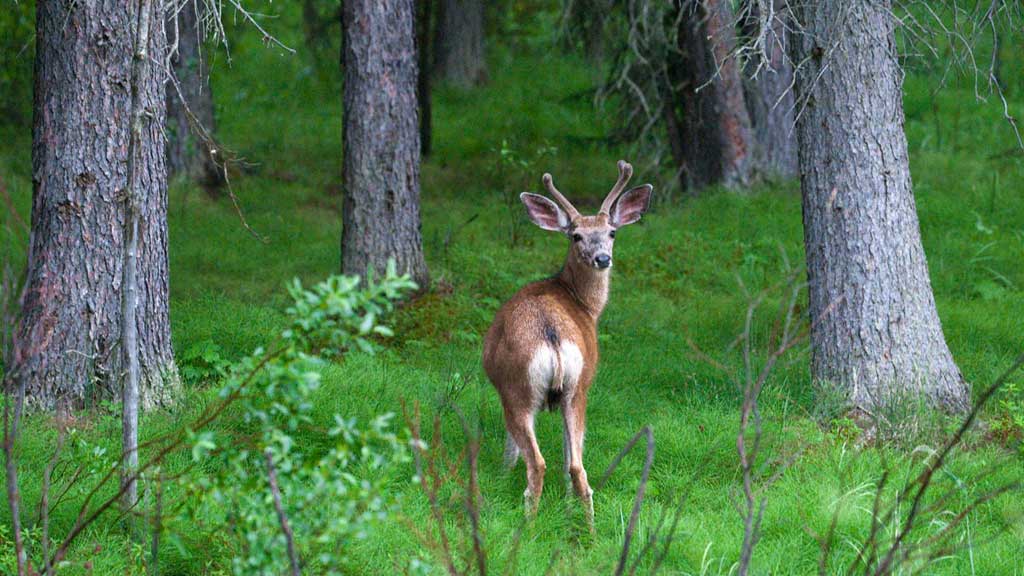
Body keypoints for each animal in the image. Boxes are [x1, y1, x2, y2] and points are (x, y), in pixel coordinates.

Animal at [481, 158, 655, 528]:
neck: (584, 305)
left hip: (518, 389)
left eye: (612, 232)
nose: (602, 258)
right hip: (578, 388)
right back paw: (588, 529)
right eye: (577, 235)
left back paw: (529, 526)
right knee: (577, 467)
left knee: (536, 463)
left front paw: (501, 478)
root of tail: (552, 335)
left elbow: (510, 450)